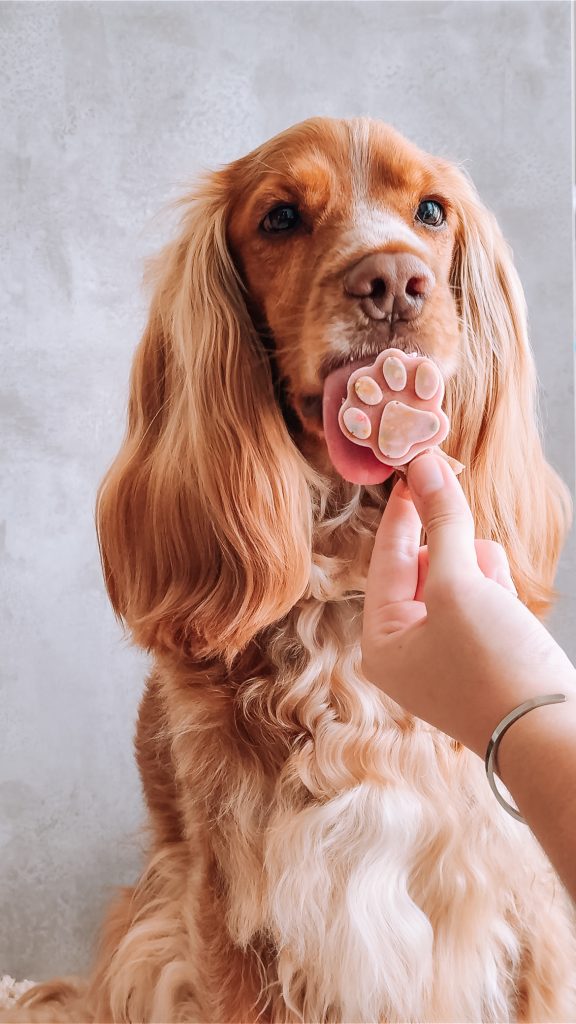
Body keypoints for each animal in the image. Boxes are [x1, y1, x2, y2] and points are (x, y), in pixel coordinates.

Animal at [13, 117, 573, 1015]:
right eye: (279, 218)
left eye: (431, 210)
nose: (394, 281)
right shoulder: (233, 910)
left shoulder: (516, 892)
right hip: (150, 936)